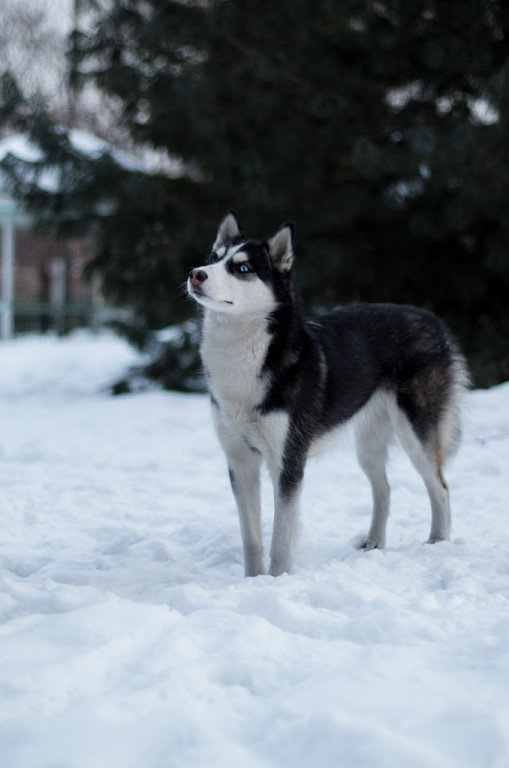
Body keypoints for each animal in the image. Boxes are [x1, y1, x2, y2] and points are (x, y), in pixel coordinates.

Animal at [187, 210, 468, 576]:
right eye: (213, 258)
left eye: (243, 268)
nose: (196, 274)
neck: (245, 359)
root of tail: (434, 320)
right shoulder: (240, 462)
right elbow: (252, 539)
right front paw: (251, 580)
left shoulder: (288, 463)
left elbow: (280, 538)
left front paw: (278, 579)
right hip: (368, 443)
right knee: (384, 488)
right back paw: (374, 542)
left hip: (416, 433)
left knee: (441, 487)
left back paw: (438, 541)